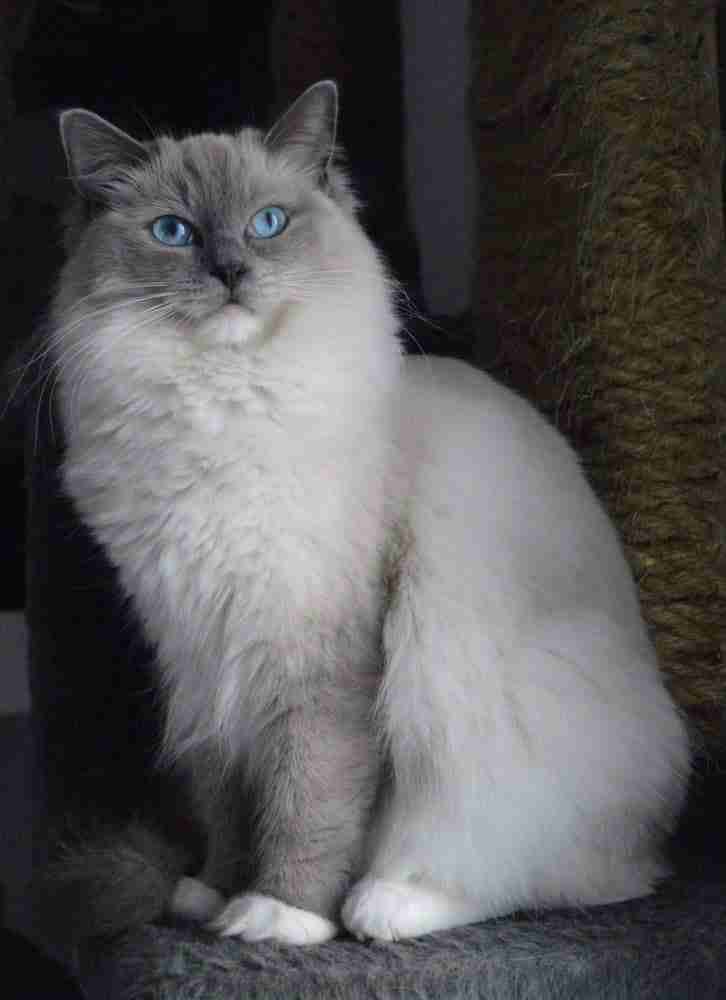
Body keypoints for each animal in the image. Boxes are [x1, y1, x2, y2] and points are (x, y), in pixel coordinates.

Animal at [42, 78, 692, 944]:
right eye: (173, 232)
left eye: (268, 223)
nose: (231, 270)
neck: (218, 410)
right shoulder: (201, 657)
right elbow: (228, 804)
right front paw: (216, 895)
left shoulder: (320, 653)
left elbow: (309, 802)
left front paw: (281, 915)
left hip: (472, 698)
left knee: (539, 874)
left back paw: (380, 904)